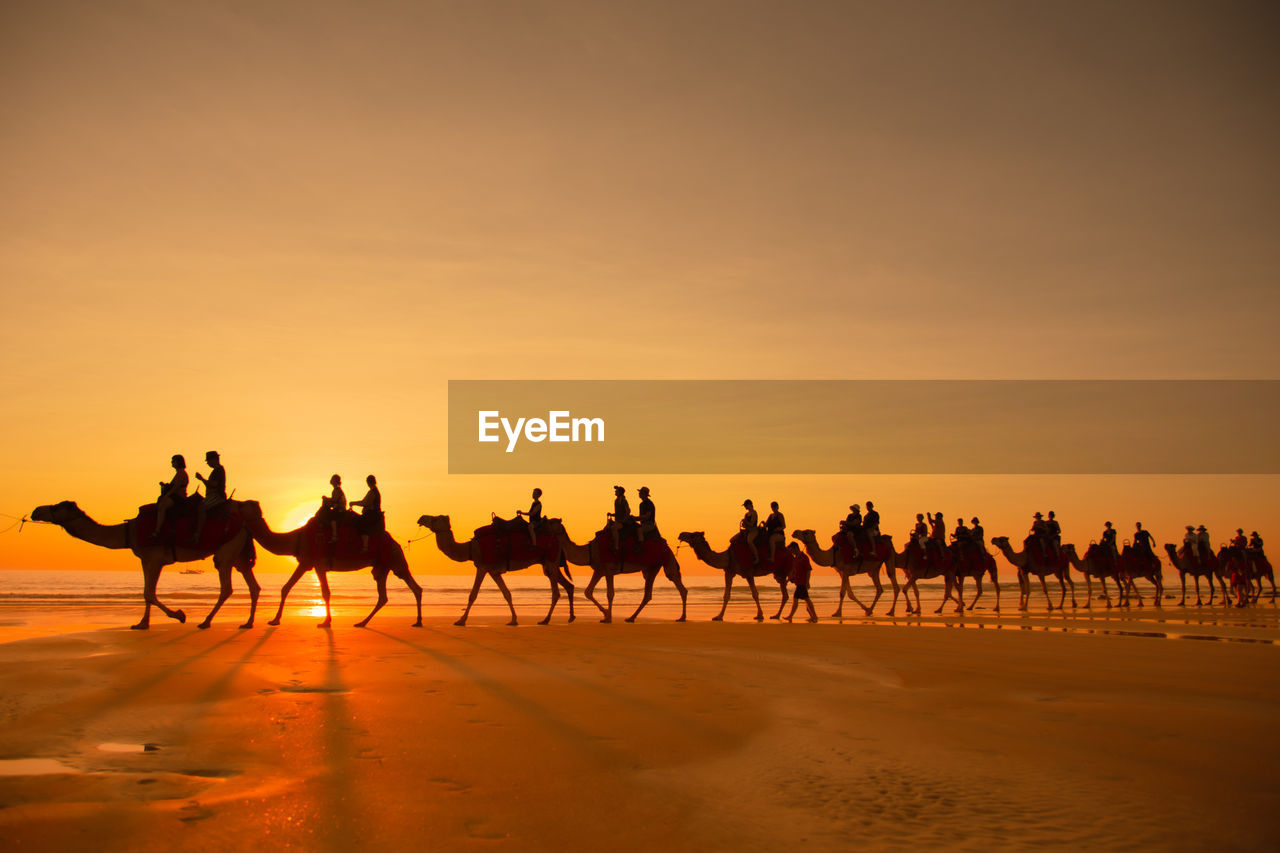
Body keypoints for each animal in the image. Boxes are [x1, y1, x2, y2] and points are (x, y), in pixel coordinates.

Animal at [30, 494, 258, 627]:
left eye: (57, 506)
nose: (35, 511)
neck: (129, 532)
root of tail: (244, 524)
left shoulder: (156, 558)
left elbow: (150, 592)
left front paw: (179, 615)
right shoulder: (145, 559)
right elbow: (146, 593)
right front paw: (142, 623)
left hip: (226, 551)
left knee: (226, 586)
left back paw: (206, 621)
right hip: (239, 554)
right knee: (252, 584)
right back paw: (247, 622)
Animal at [244, 499, 430, 625]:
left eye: (242, 505)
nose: (237, 503)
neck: (297, 538)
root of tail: (395, 543)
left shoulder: (315, 562)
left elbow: (325, 592)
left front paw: (325, 621)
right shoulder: (306, 562)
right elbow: (286, 588)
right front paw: (275, 620)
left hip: (394, 559)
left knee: (412, 586)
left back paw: (417, 621)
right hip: (382, 567)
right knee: (385, 595)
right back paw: (362, 622)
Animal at [414, 512, 576, 625]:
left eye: (435, 519)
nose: (421, 518)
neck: (472, 548)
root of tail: (558, 540)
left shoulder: (482, 566)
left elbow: (473, 594)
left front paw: (461, 620)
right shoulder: (493, 571)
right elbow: (507, 593)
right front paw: (513, 620)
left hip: (550, 561)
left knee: (556, 592)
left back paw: (546, 620)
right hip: (549, 564)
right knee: (568, 585)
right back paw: (570, 617)